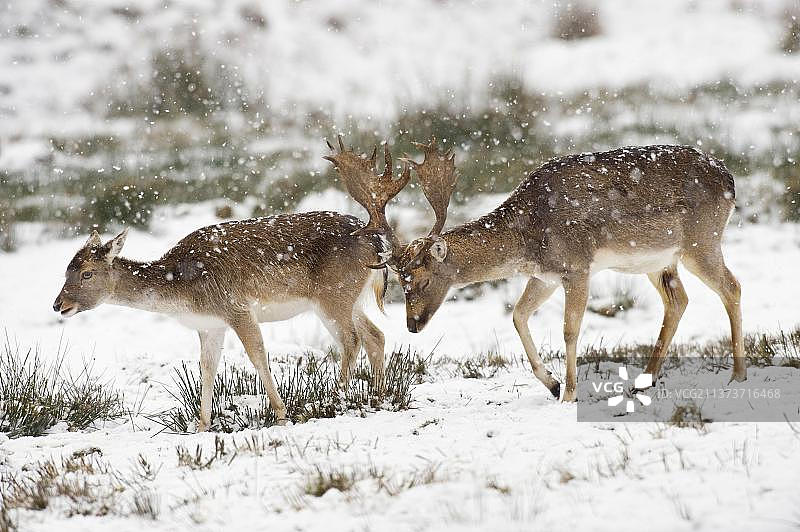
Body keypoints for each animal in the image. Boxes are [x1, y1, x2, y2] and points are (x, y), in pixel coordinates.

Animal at [52, 205, 394, 431]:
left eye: (86, 273)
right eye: (66, 269)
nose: (58, 304)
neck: (181, 292)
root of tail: (379, 244)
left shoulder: (236, 308)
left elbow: (258, 356)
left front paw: (281, 415)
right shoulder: (210, 326)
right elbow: (207, 366)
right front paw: (202, 424)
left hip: (332, 296)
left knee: (351, 339)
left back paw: (333, 401)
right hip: (351, 299)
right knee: (376, 335)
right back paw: (378, 396)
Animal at [326, 136, 746, 402]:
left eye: (424, 279)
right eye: (400, 281)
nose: (412, 325)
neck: (529, 236)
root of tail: (730, 179)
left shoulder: (577, 266)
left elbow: (570, 329)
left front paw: (570, 393)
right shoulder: (545, 275)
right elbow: (517, 315)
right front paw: (553, 384)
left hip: (701, 240)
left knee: (732, 287)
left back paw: (737, 375)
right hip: (657, 260)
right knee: (679, 300)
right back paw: (644, 381)